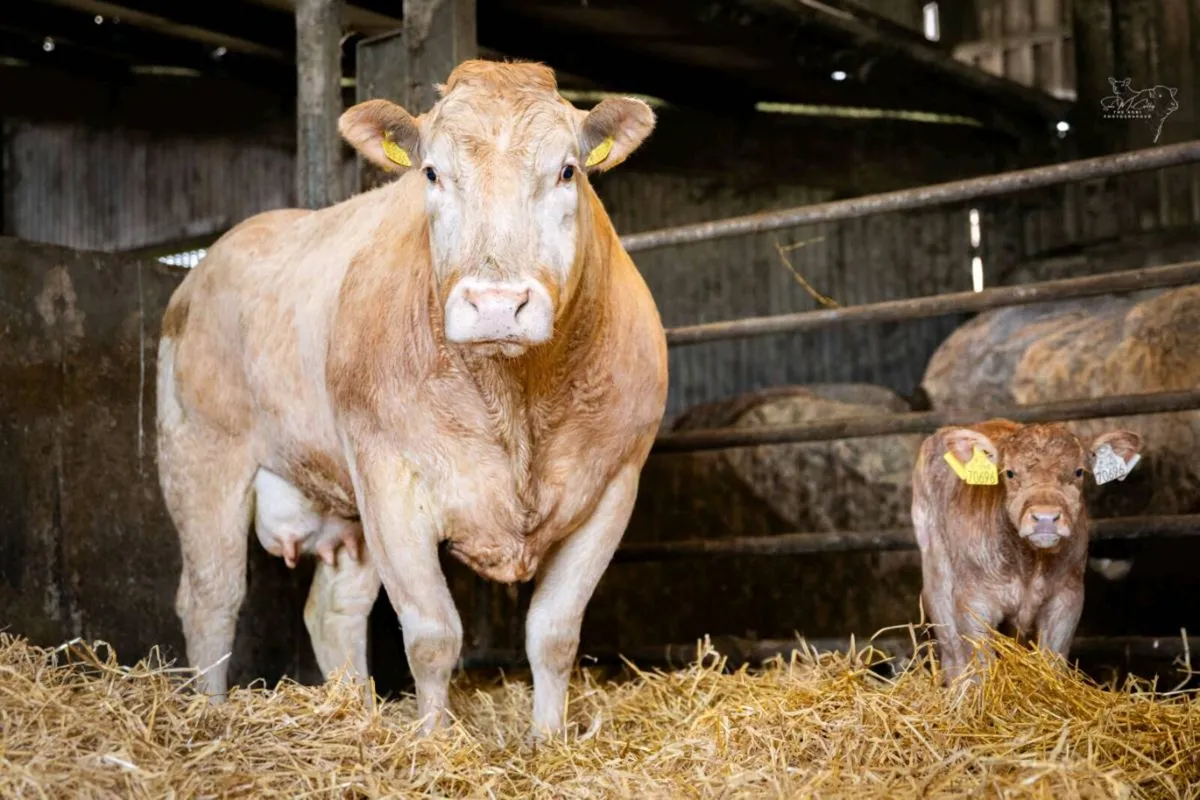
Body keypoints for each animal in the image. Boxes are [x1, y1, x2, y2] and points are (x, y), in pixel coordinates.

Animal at [155, 59, 668, 738]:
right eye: (431, 172)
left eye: (567, 171)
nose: (496, 304)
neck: (517, 402)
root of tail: (208, 264)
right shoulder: (388, 477)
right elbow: (432, 636)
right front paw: (432, 741)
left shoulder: (615, 483)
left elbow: (554, 634)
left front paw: (547, 740)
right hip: (201, 456)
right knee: (211, 597)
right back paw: (209, 717)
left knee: (333, 609)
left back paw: (352, 709)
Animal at [910, 419, 1142, 684]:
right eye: (1010, 473)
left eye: (1078, 472)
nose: (1045, 518)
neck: (1029, 565)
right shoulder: (973, 602)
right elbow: (980, 666)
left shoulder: (1067, 598)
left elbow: (1053, 660)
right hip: (936, 572)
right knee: (952, 651)